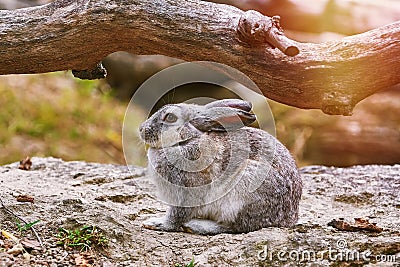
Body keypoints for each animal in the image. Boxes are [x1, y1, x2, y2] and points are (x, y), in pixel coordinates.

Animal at [139, 99, 302, 236]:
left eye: (170, 117)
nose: (141, 129)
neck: (187, 140)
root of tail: (288, 220)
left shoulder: (186, 191)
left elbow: (176, 216)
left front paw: (156, 223)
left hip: (245, 189)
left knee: (235, 226)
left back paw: (197, 226)